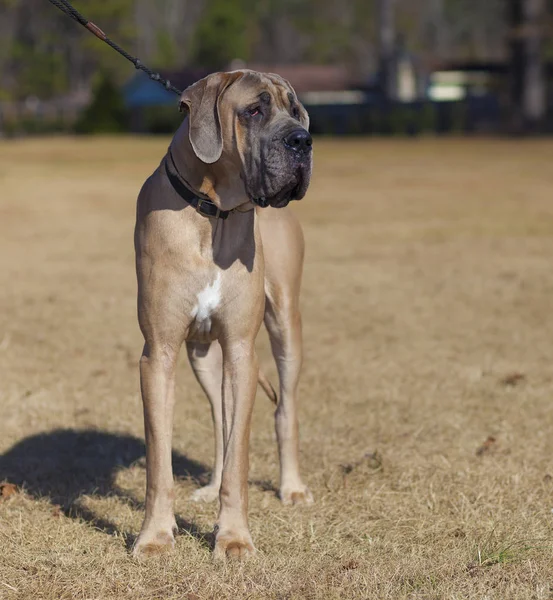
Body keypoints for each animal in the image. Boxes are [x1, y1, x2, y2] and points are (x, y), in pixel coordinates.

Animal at [132, 70, 312, 564]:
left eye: (295, 109)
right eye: (254, 109)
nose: (303, 140)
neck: (212, 212)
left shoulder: (241, 352)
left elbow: (240, 459)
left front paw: (233, 538)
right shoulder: (159, 354)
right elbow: (160, 462)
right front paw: (155, 536)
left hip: (285, 324)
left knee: (284, 409)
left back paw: (292, 487)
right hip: (201, 355)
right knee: (219, 421)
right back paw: (209, 488)